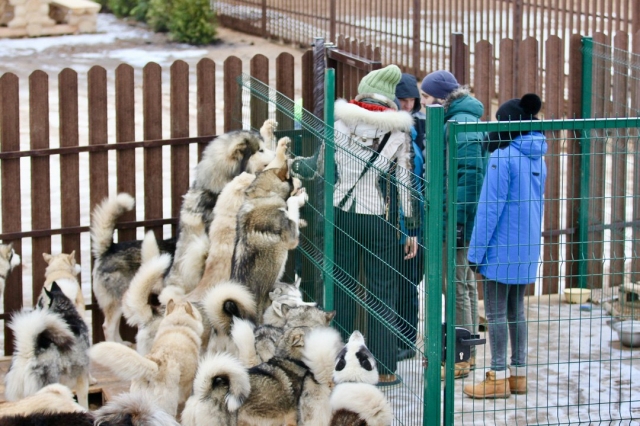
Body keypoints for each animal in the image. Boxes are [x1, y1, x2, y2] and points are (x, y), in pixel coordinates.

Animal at [232, 137, 308, 322]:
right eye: (292, 178)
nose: (301, 182)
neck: (263, 196)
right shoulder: (291, 240)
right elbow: (291, 203)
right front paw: (301, 198)